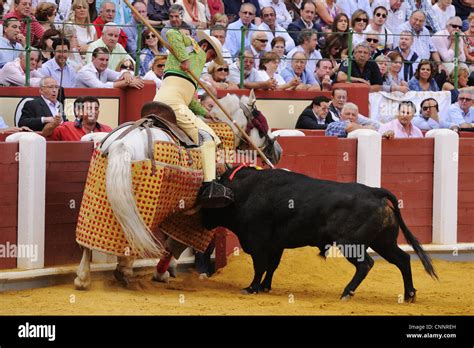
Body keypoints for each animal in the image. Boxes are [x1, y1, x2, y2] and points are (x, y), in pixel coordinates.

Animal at [74, 94, 282, 290]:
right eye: (261, 124)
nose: (278, 151)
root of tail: (124, 144)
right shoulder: (195, 215)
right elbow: (177, 244)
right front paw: (162, 273)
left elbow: (172, 244)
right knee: (133, 235)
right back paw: (122, 271)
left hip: (100, 197)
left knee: (90, 240)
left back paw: (83, 278)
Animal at [200, 167, 436, 300]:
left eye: (206, 205)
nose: (201, 220)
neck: (241, 193)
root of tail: (373, 191)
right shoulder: (276, 245)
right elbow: (272, 266)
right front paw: (266, 287)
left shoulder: (259, 243)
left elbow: (260, 266)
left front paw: (252, 288)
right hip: (383, 242)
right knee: (403, 259)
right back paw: (409, 294)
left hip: (350, 244)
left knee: (366, 264)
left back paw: (346, 292)